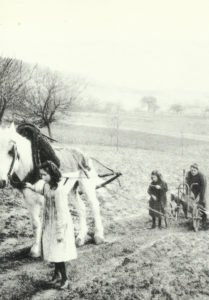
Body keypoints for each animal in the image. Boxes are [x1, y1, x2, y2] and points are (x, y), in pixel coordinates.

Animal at [0, 123, 104, 256]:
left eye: (10, 151)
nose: (1, 181)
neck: (33, 168)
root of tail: (83, 154)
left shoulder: (46, 198)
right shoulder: (29, 201)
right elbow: (35, 224)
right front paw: (36, 249)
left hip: (86, 184)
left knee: (94, 205)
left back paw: (98, 236)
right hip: (71, 190)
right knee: (81, 207)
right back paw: (80, 237)